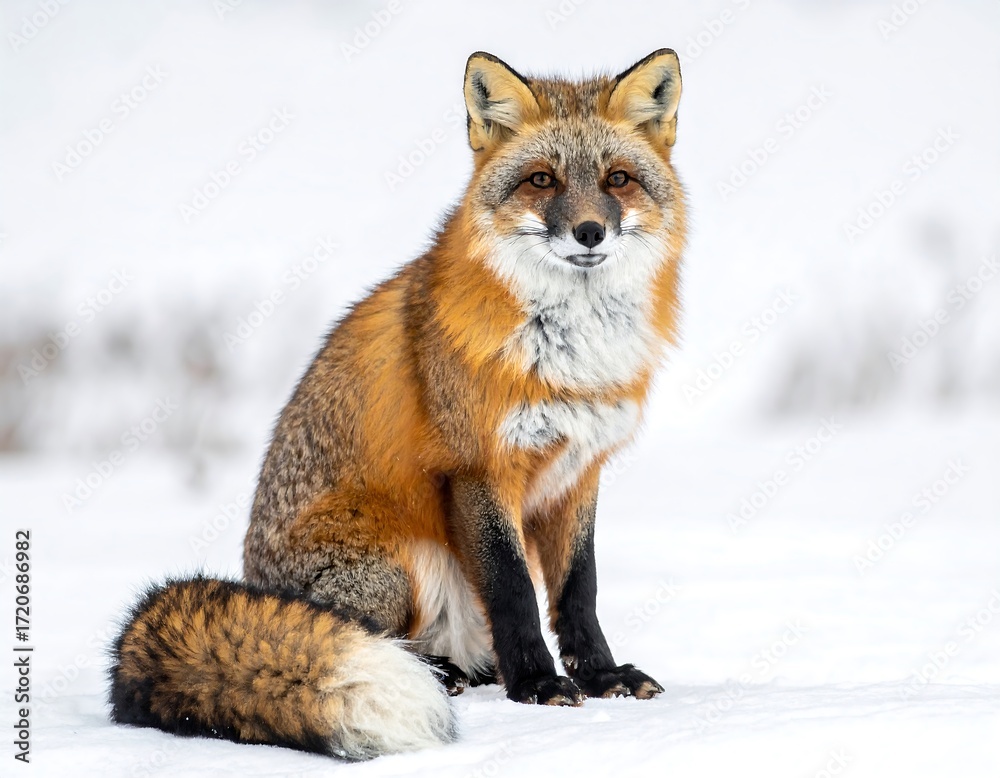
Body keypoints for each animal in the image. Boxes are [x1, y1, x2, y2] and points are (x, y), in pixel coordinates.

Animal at [110, 48, 686, 760]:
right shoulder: (477, 467)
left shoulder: (578, 471)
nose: (589, 231)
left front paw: (603, 677)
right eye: (542, 180)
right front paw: (536, 685)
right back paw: (443, 673)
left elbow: (579, 592)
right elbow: (514, 592)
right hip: (406, 560)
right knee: (384, 637)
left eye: (618, 179)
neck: (569, 359)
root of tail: (257, 582)